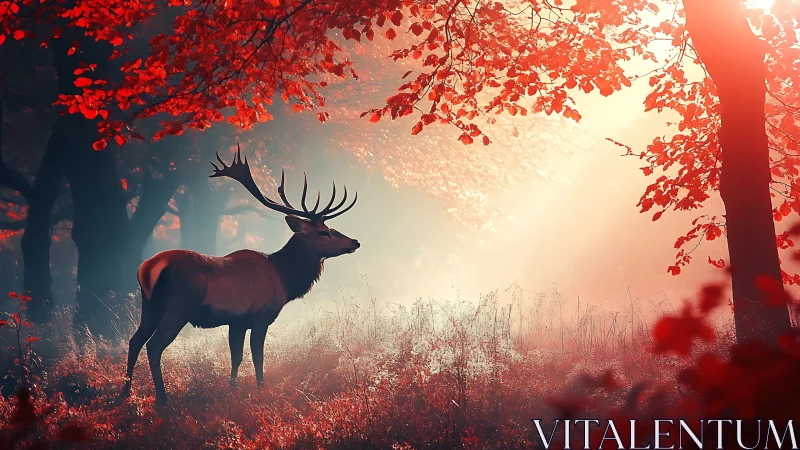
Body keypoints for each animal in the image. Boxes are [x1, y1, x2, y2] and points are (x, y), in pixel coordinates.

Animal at [122, 145, 360, 405]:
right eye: (324, 232)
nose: (355, 241)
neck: (284, 277)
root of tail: (148, 268)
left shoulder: (236, 321)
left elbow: (235, 357)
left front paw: (232, 390)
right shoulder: (261, 316)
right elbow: (257, 356)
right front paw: (260, 391)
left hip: (150, 305)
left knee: (134, 340)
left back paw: (125, 392)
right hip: (178, 307)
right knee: (154, 346)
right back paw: (162, 399)